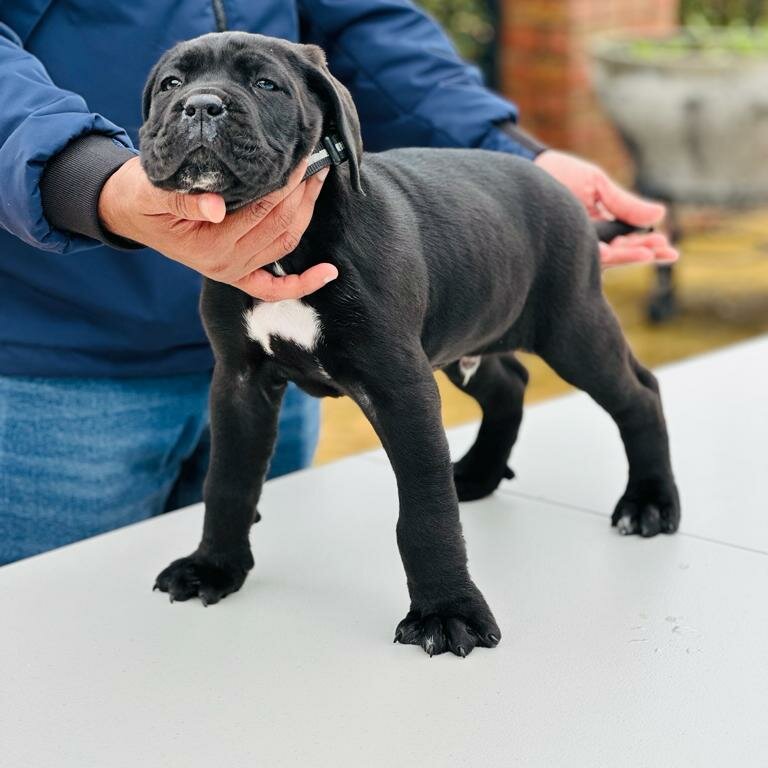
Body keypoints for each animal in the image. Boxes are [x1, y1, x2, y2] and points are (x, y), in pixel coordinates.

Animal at [142, 30, 680, 656]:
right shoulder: (239, 382)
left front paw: (447, 611)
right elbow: (228, 479)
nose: (200, 106)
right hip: (470, 332)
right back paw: (478, 472)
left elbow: (424, 509)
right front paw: (214, 566)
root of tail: (565, 194)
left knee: (639, 394)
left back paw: (649, 501)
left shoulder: (400, 384)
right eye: (171, 83)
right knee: (510, 385)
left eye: (266, 84)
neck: (287, 249)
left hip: (573, 327)